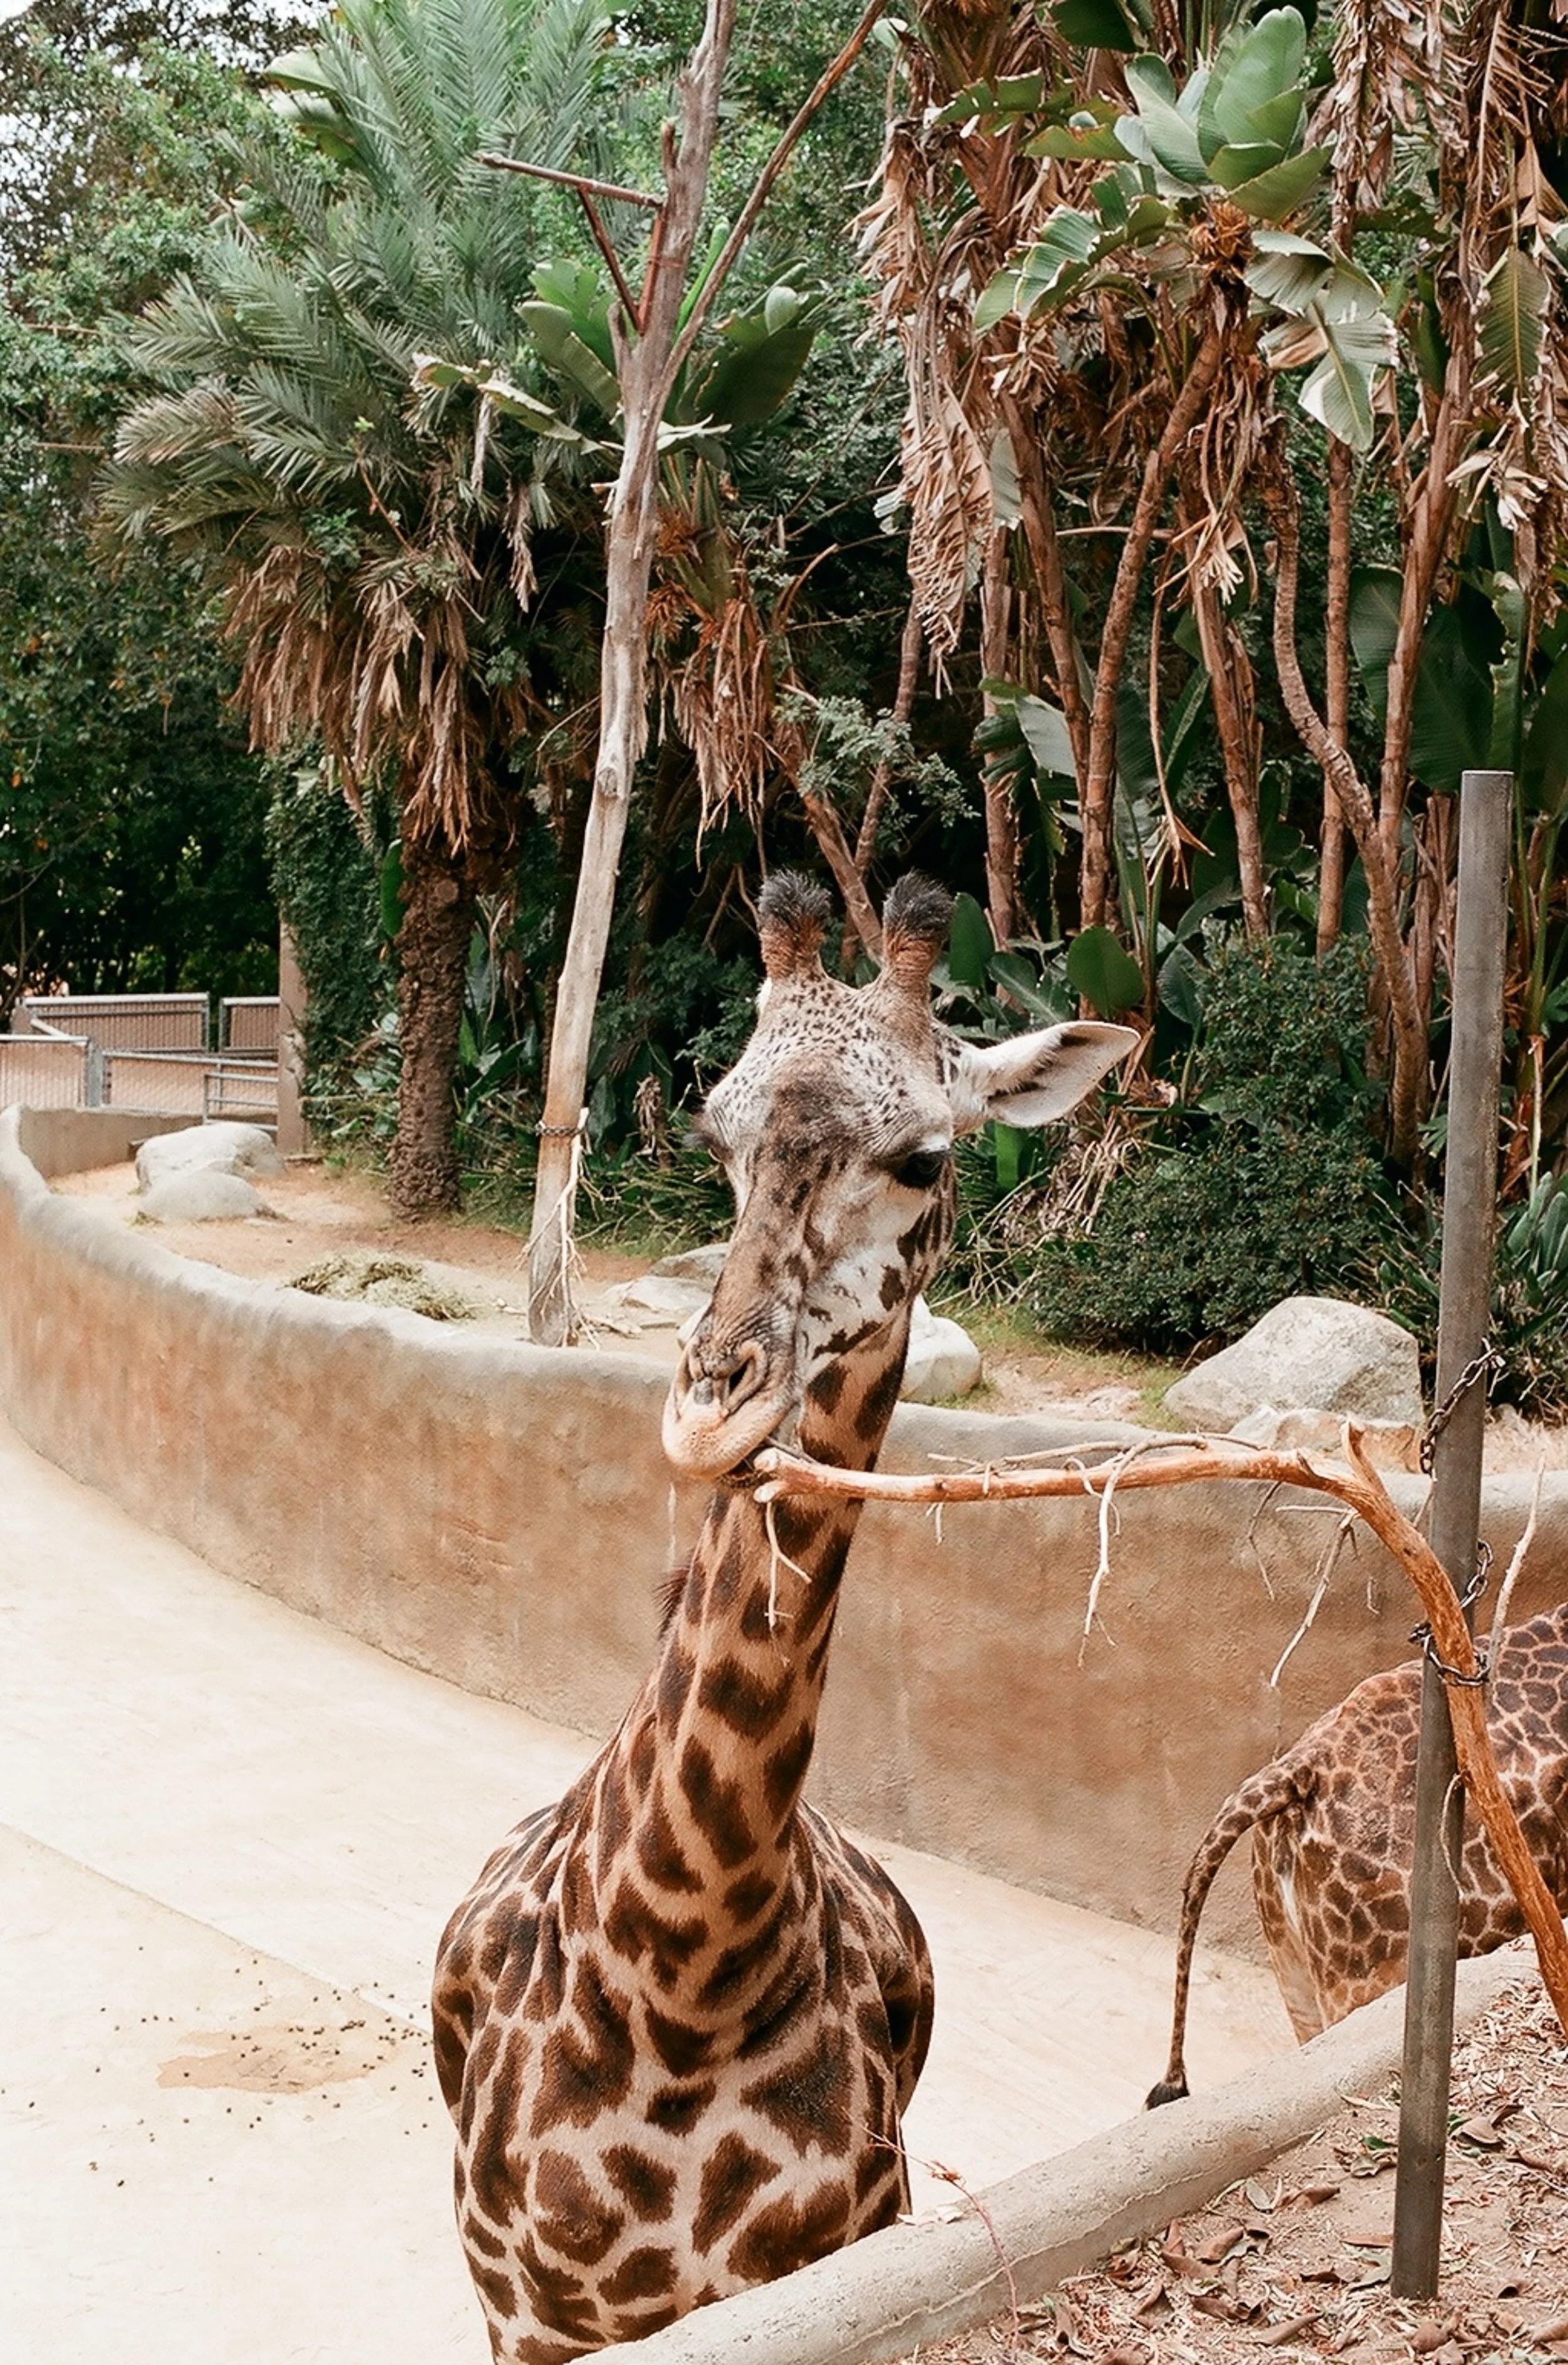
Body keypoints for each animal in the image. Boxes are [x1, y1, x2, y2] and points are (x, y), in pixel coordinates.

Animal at [433, 871, 1137, 2361]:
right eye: (717, 1130)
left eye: (925, 1158)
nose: (714, 1401)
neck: (680, 1978)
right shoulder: (526, 2314)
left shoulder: (841, 2272)